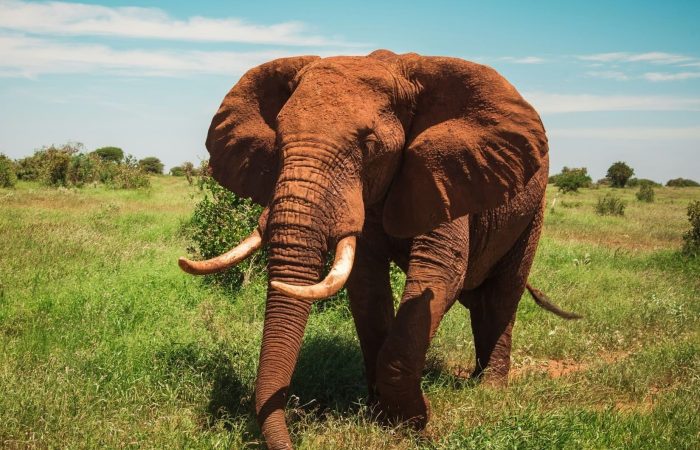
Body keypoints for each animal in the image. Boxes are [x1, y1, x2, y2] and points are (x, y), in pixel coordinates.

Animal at [179, 50, 580, 450]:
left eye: (369, 146)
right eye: (278, 143)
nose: (291, 438)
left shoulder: (444, 175)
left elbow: (439, 275)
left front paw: (413, 421)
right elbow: (367, 286)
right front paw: (380, 414)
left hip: (532, 210)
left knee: (502, 295)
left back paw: (489, 390)